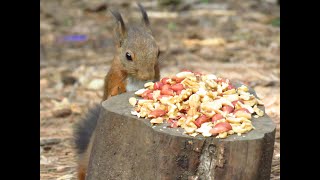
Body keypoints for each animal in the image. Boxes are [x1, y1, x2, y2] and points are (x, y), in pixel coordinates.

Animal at [74, 3, 161, 180]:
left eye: (158, 52)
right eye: (128, 56)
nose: (147, 76)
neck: (136, 80)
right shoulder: (113, 79)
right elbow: (111, 92)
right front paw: (118, 91)